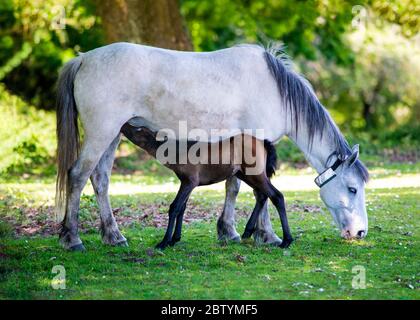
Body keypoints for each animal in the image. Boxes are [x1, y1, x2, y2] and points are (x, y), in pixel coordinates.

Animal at [120, 123, 294, 250]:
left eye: (138, 128)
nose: (124, 125)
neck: (177, 153)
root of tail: (264, 142)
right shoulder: (186, 182)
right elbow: (182, 208)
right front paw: (175, 239)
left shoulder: (190, 181)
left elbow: (174, 207)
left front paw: (164, 242)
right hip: (245, 174)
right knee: (263, 195)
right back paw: (247, 231)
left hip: (255, 174)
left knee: (277, 195)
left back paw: (286, 240)